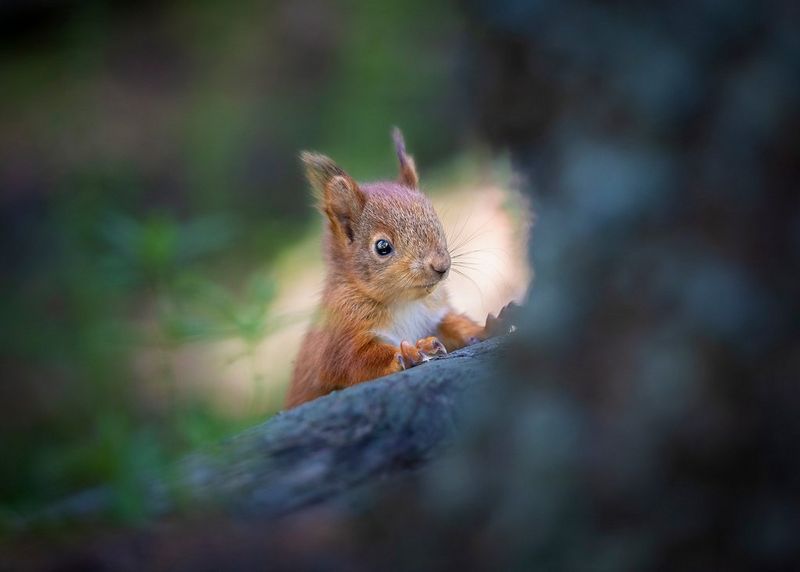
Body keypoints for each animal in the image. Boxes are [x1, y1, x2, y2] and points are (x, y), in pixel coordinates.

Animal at [285, 128, 514, 409]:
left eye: (435, 221)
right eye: (382, 246)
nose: (441, 265)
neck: (404, 302)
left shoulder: (434, 317)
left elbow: (455, 325)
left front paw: (489, 326)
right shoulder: (339, 339)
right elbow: (356, 361)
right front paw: (414, 352)